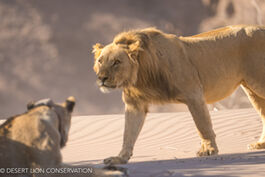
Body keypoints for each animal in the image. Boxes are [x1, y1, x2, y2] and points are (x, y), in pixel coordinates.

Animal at [92, 24, 264, 165]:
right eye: (100, 61)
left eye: (116, 62)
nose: (102, 78)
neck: (141, 75)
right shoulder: (135, 104)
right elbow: (128, 133)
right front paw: (119, 158)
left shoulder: (194, 94)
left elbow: (202, 126)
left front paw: (209, 150)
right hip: (251, 89)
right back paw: (260, 144)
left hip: (258, 83)